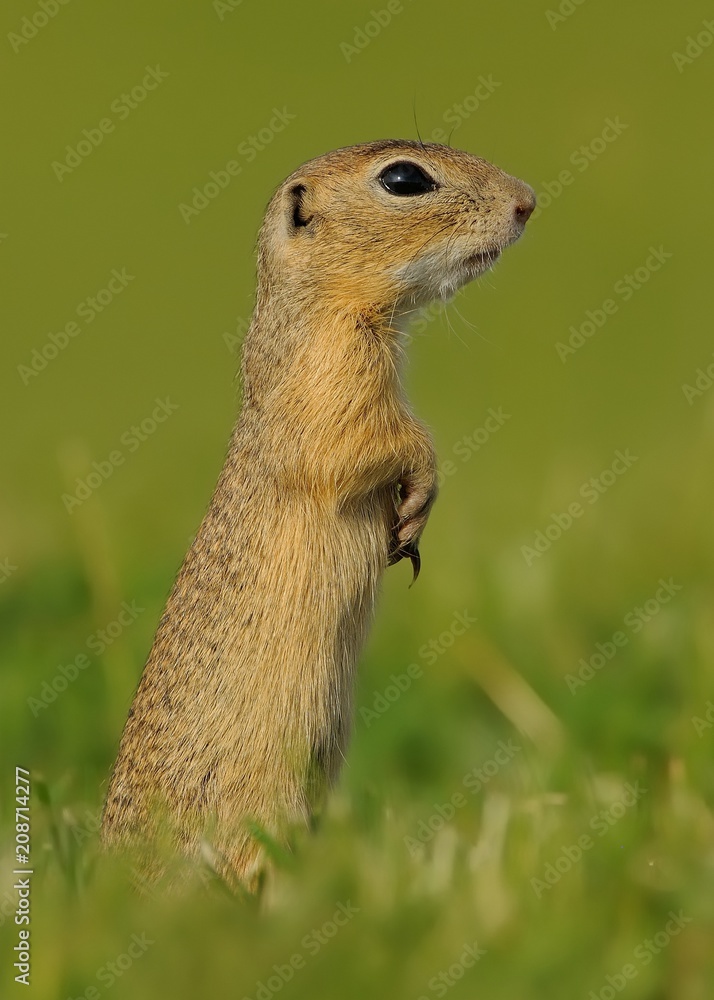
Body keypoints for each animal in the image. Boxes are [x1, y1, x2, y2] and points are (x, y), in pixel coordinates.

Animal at [100, 140, 535, 889]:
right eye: (403, 178)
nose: (527, 201)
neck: (318, 305)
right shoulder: (334, 380)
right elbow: (382, 442)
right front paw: (419, 499)